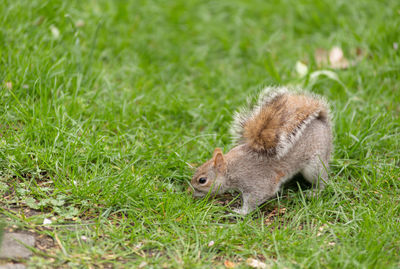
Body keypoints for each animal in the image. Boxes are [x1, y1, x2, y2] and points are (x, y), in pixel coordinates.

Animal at [189, 86, 332, 214]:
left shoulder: (256, 180)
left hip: (314, 164)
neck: (231, 168)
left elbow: (257, 197)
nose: (192, 194)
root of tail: (322, 123)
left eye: (202, 180)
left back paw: (316, 191)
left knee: (322, 179)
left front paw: (240, 211)